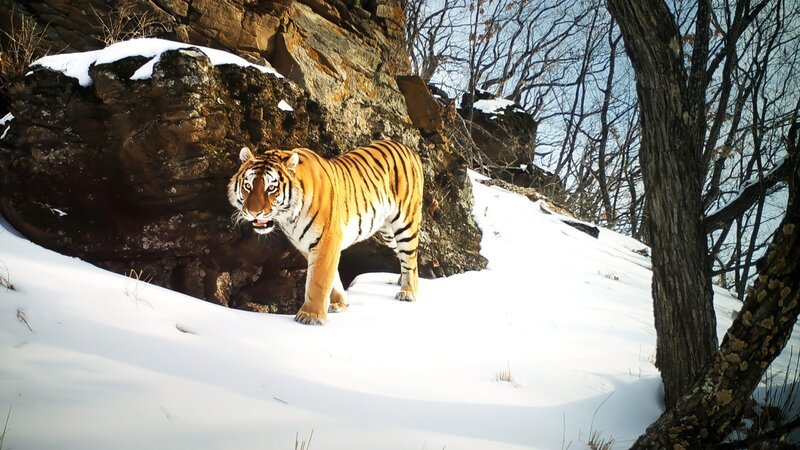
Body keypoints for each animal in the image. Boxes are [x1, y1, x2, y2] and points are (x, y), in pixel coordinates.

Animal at [228, 140, 424, 325]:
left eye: (271, 188)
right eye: (248, 186)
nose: (253, 212)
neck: (289, 218)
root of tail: (408, 148)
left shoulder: (326, 240)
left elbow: (318, 281)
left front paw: (311, 316)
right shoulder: (307, 245)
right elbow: (332, 277)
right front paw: (339, 304)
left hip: (404, 223)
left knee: (410, 258)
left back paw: (408, 292)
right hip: (388, 231)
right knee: (403, 255)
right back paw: (400, 280)